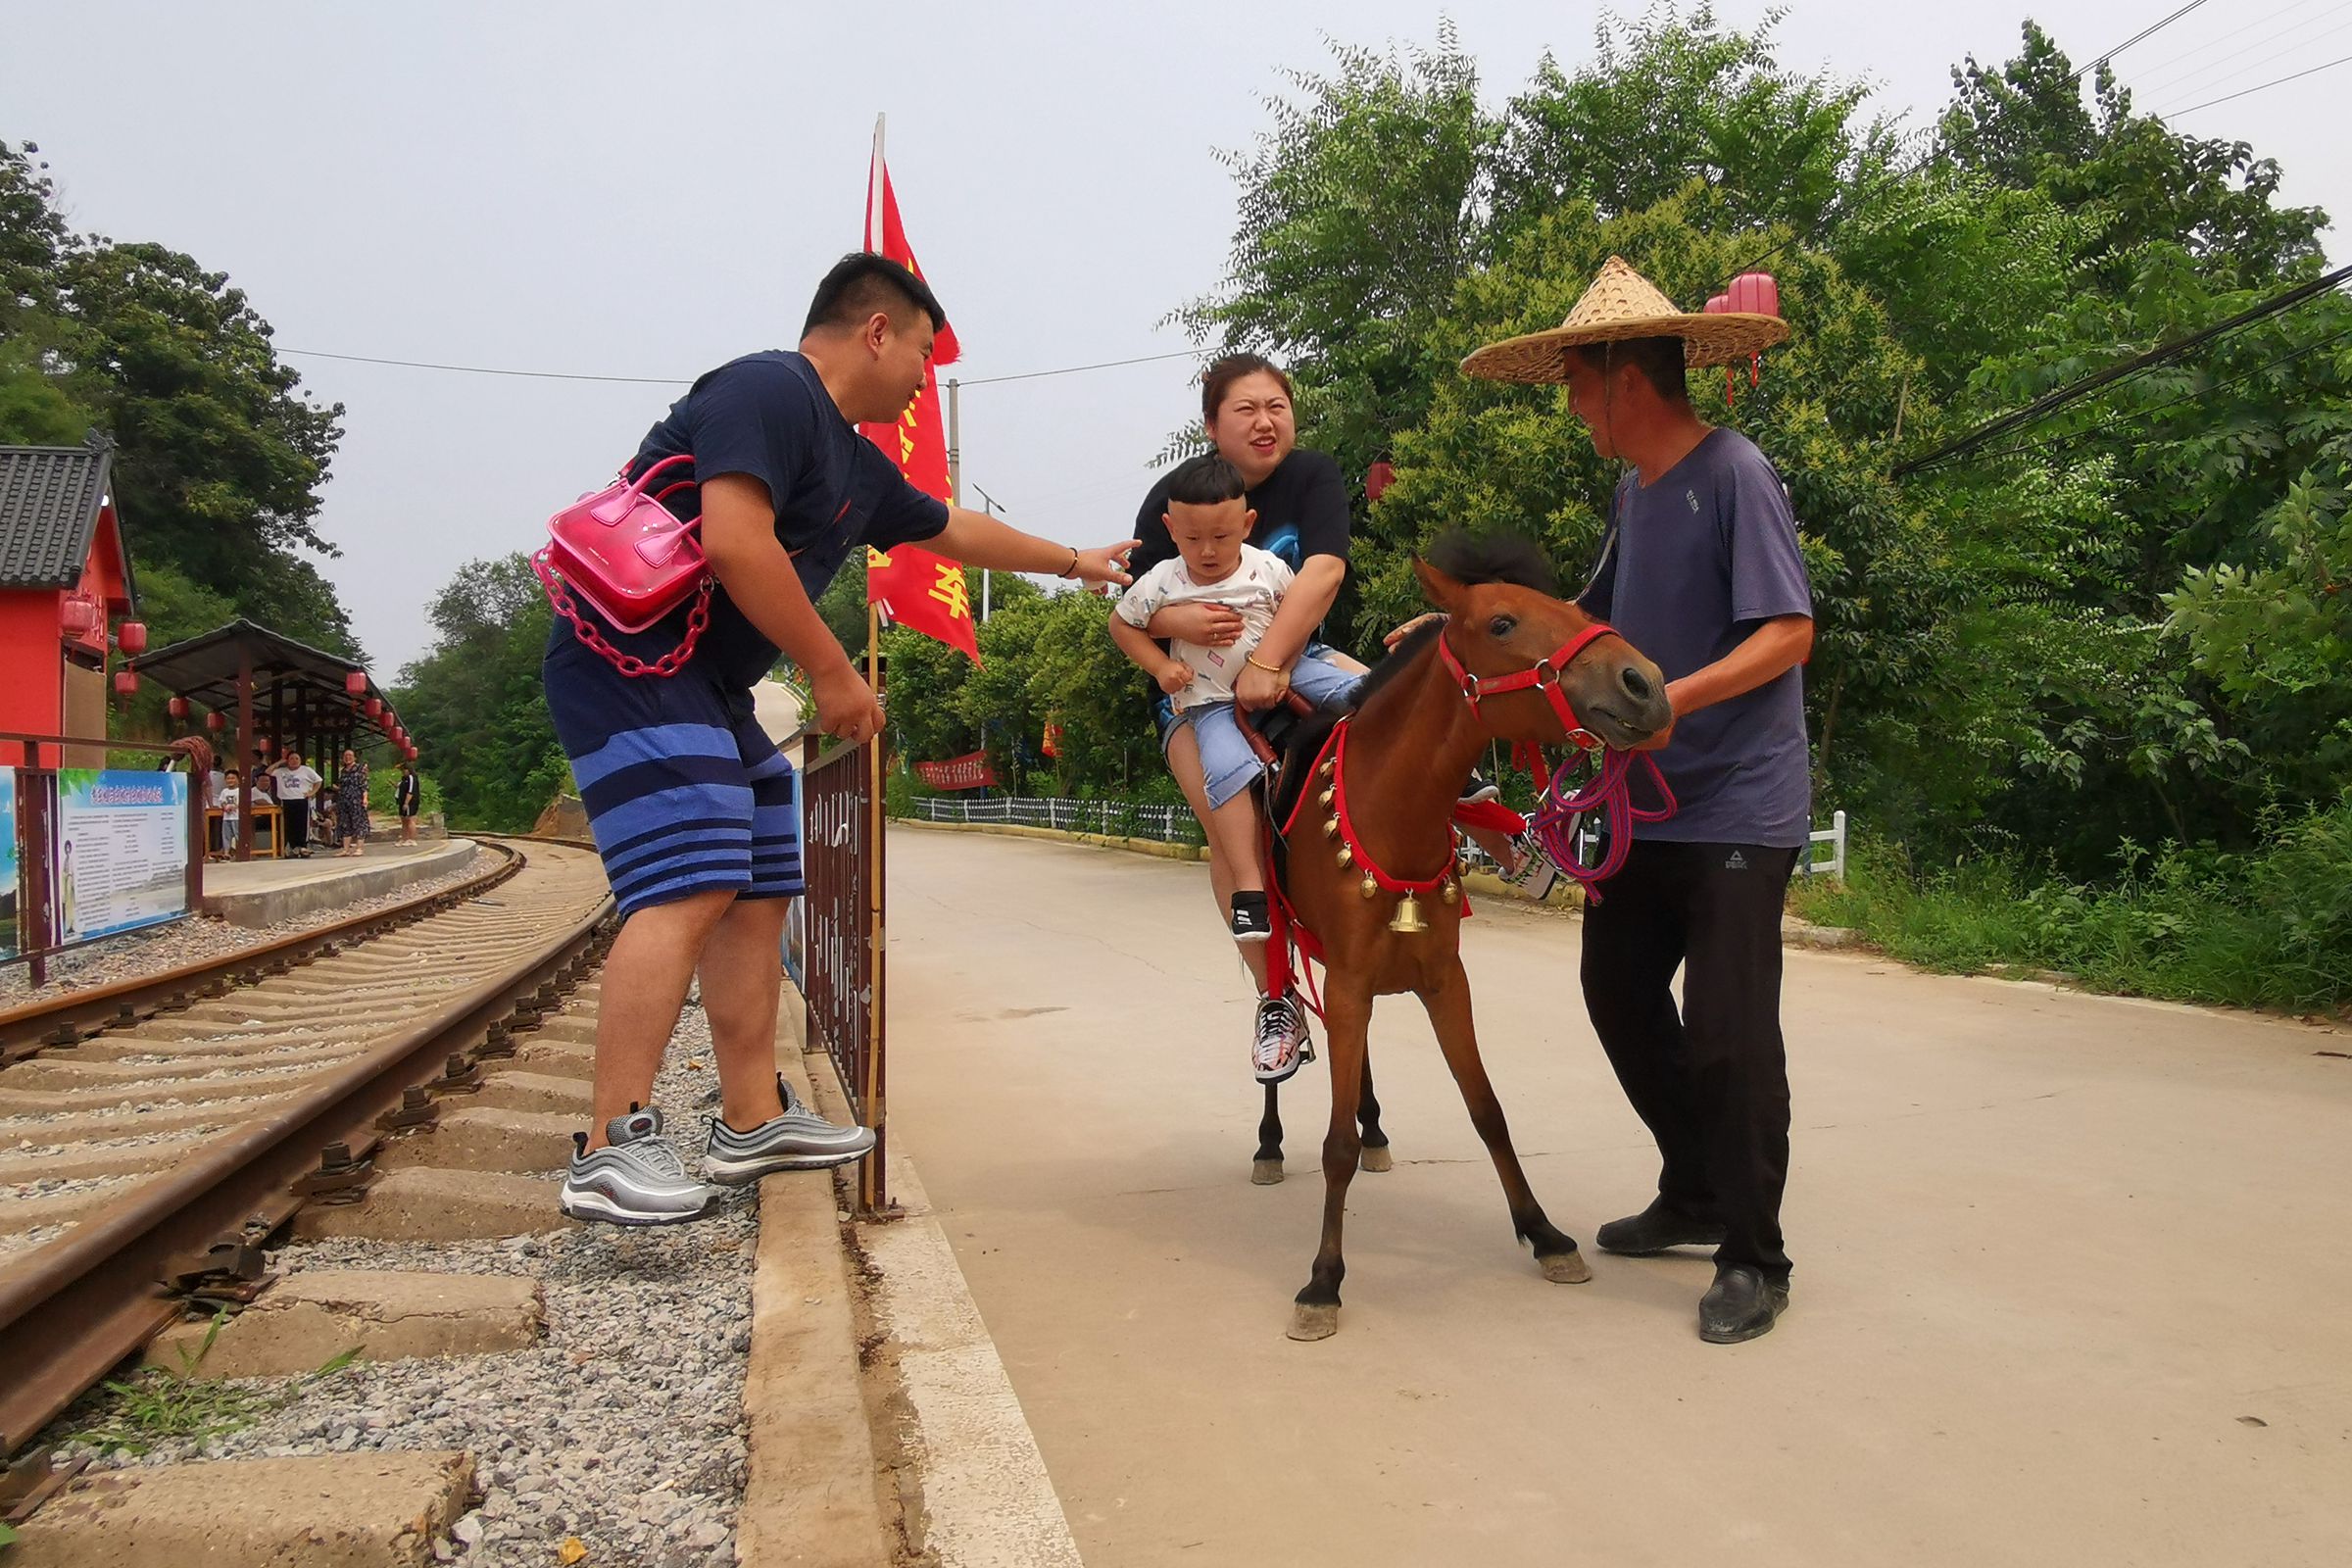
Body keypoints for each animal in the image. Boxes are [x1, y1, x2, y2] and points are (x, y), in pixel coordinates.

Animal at [1270, 540, 1674, 1335]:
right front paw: (1324, 1279)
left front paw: (1545, 1235)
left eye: (1572, 607)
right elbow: (1332, 1145)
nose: (1644, 684)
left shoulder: (1442, 980)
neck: (1394, 816)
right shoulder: (1353, 977)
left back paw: (1376, 1129)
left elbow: (1488, 1111)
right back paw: (1270, 1140)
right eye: (1501, 622)